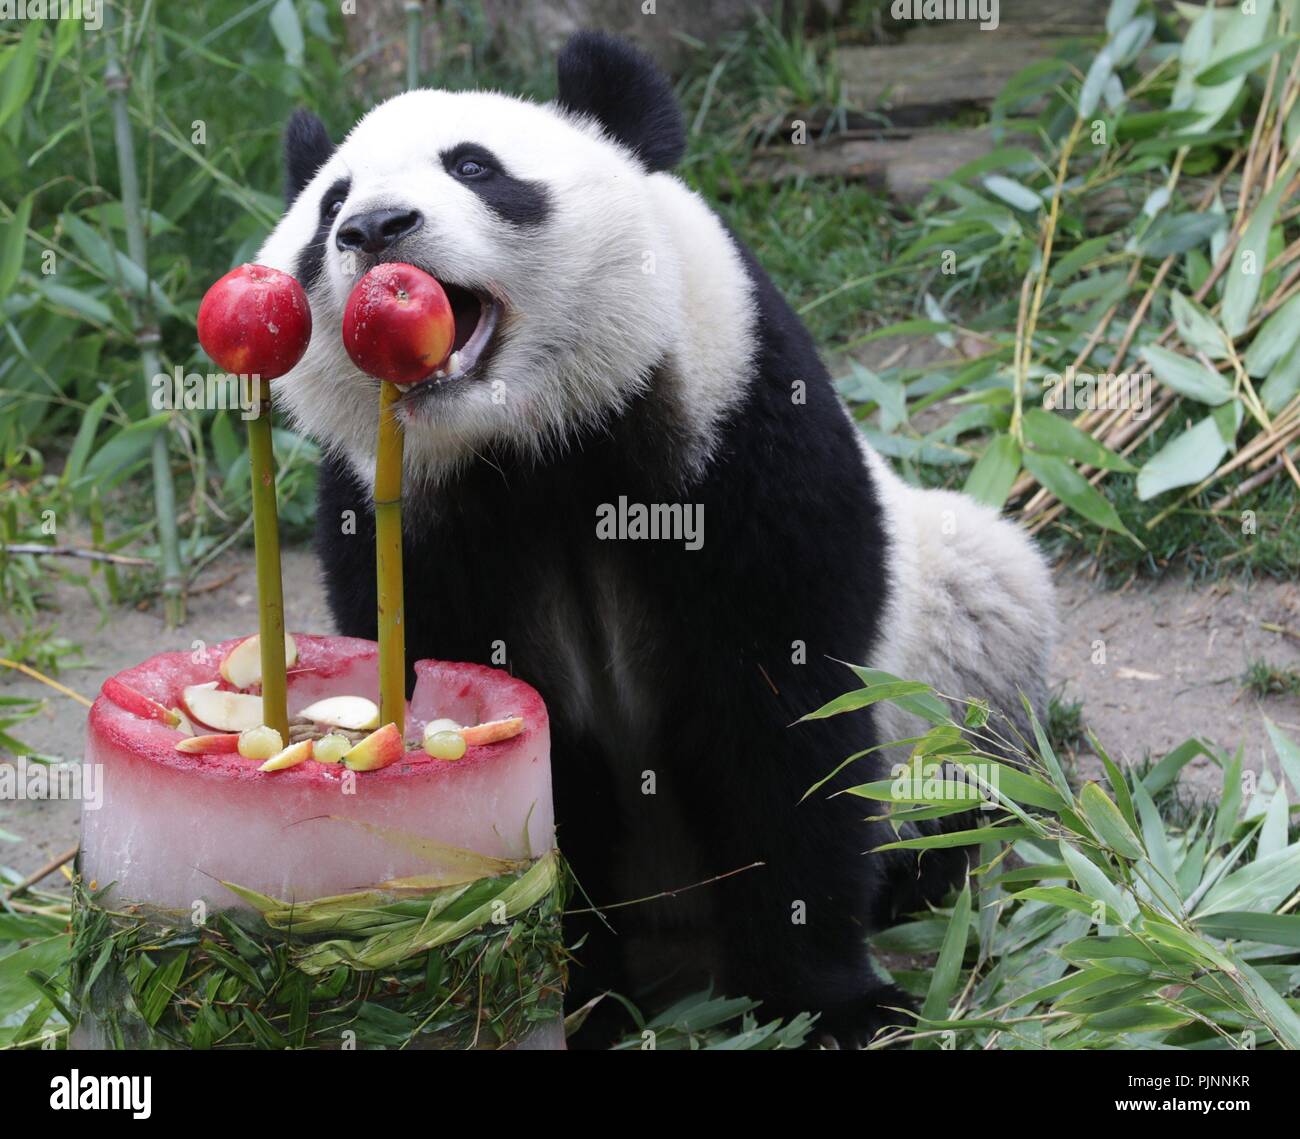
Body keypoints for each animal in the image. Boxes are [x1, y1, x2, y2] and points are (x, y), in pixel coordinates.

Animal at [256, 31, 1056, 1044]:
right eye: (330, 205)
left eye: (474, 166)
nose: (374, 228)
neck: (527, 443)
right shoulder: (399, 519)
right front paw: (577, 997)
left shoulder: (735, 420)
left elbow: (785, 722)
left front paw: (833, 1003)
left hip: (950, 649)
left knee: (987, 630)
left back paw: (925, 869)